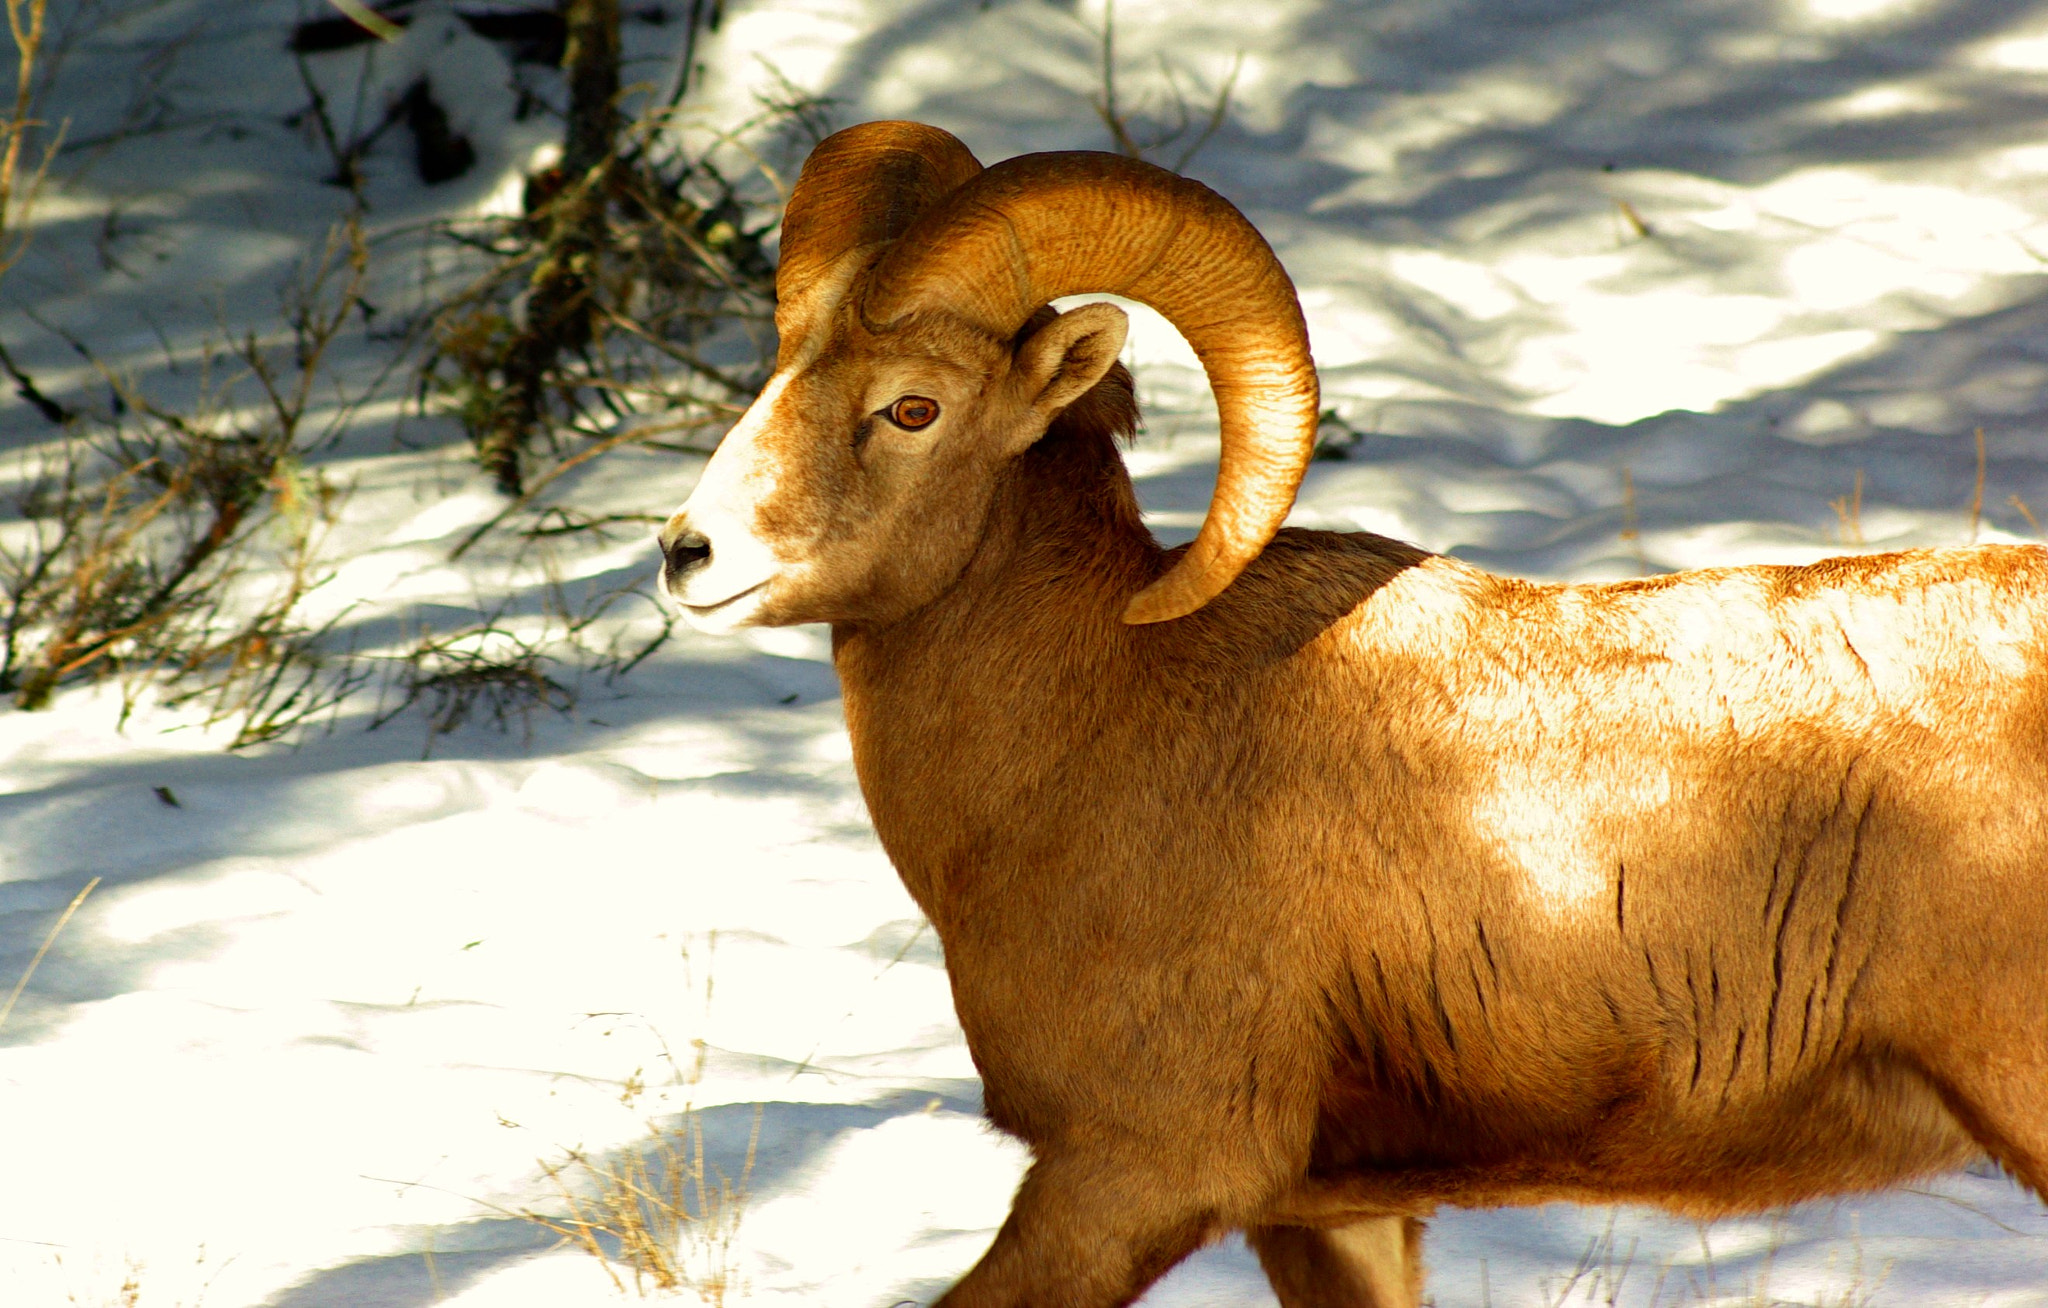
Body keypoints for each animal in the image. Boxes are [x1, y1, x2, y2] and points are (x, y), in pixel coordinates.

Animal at [659, 120, 2048, 1301]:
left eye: (911, 406)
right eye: (779, 372)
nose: (686, 554)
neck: (1089, 729)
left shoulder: (1133, 1174)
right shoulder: (1331, 1216)